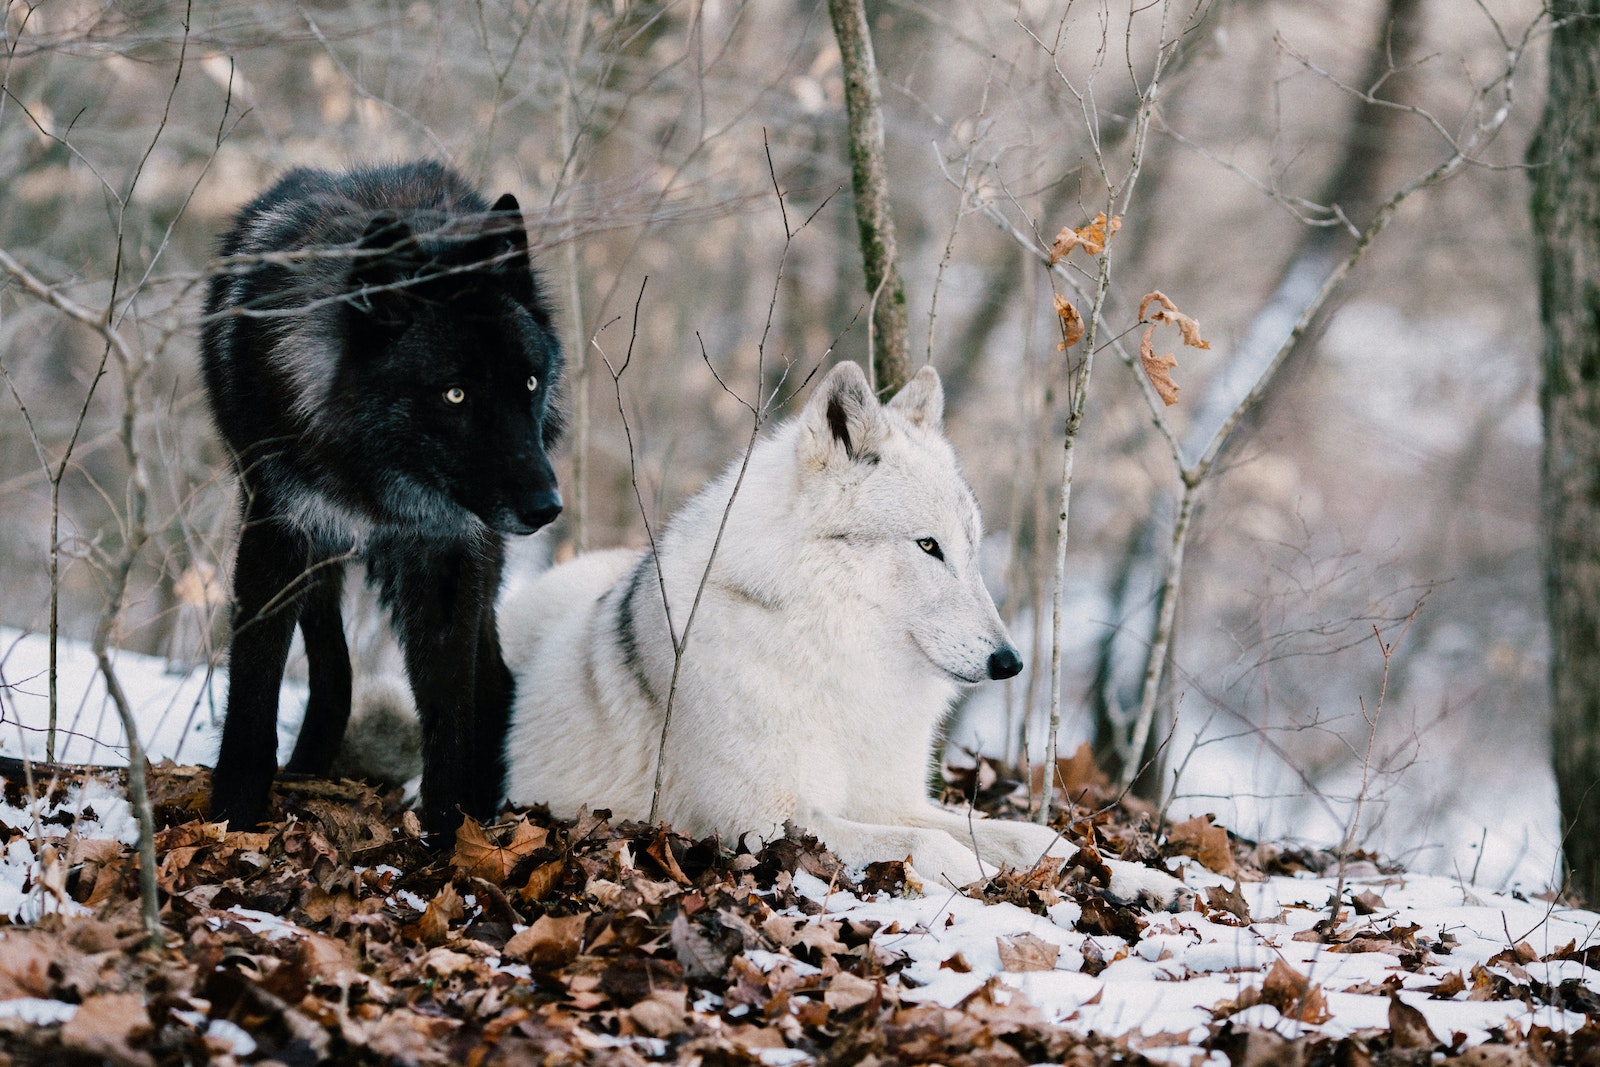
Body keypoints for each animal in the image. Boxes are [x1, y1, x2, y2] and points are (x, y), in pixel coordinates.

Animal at [201, 160, 563, 837]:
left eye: (528, 383)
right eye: (454, 394)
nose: (546, 507)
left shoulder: (447, 555)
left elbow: (448, 708)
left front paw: (449, 834)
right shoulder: (278, 529)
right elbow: (256, 685)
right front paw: (233, 816)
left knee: (493, 680)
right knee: (332, 663)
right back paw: (309, 766)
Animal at [496, 361, 1159, 892]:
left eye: (971, 549)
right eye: (928, 546)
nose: (1010, 661)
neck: (836, 659)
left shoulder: (890, 799)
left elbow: (1031, 836)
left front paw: (1129, 875)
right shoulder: (761, 821)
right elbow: (935, 845)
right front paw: (985, 877)